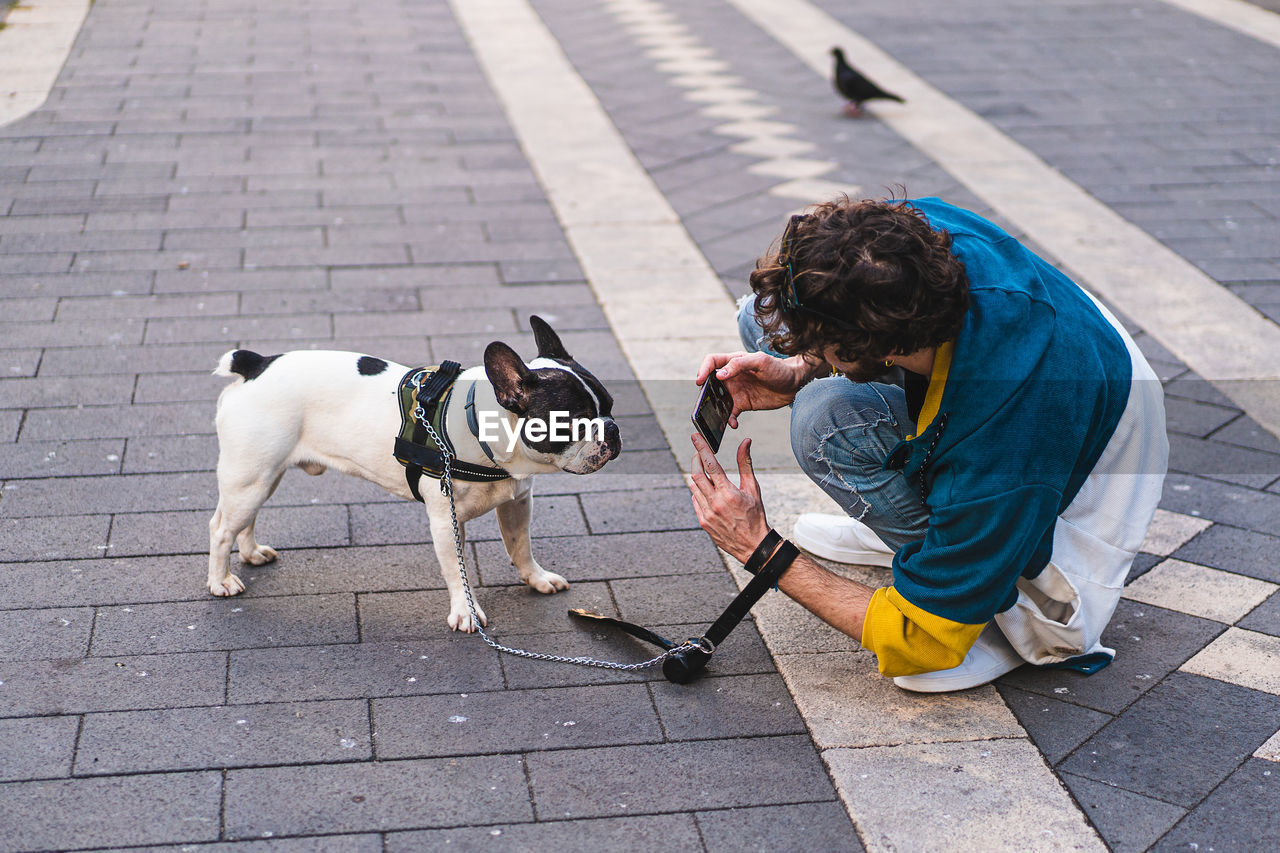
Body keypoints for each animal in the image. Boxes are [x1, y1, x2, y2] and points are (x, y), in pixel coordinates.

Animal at [207, 315, 622, 627]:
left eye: (610, 406)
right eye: (573, 422)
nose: (612, 429)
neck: (481, 427)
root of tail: (255, 364)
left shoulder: (517, 502)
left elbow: (521, 545)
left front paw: (536, 579)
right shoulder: (445, 520)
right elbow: (456, 569)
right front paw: (466, 613)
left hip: (262, 475)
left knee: (244, 519)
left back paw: (251, 553)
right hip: (250, 477)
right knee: (221, 529)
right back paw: (221, 581)